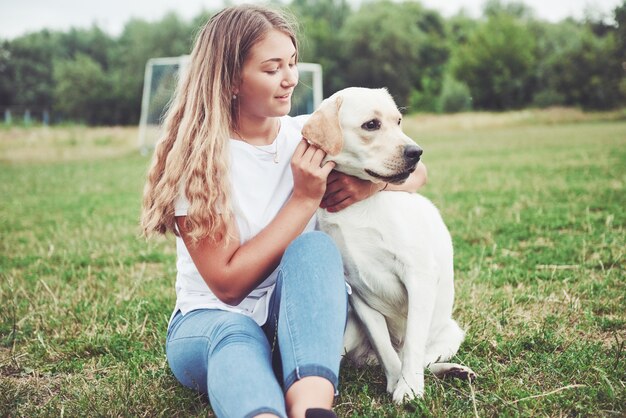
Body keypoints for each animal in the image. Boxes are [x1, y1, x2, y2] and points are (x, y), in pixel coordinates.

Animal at [302, 87, 472, 402]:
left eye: (399, 121)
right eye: (371, 125)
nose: (416, 152)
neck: (357, 209)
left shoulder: (419, 276)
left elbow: (413, 344)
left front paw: (409, 388)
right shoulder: (357, 292)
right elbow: (384, 347)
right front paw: (396, 383)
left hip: (452, 333)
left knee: (423, 358)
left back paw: (453, 370)